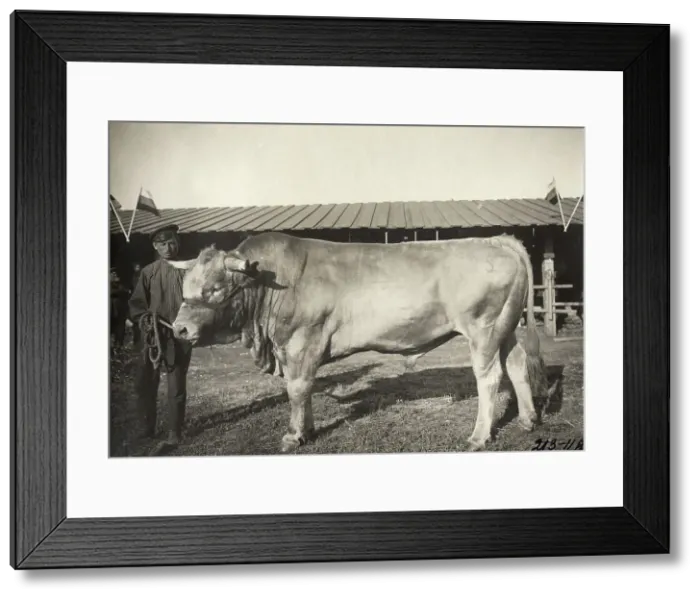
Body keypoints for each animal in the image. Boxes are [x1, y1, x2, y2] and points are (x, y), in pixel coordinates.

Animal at [166, 231, 550, 453]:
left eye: (215, 288)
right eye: (185, 285)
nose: (179, 329)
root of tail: (496, 239)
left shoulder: (301, 342)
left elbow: (297, 389)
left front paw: (294, 435)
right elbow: (305, 390)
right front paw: (307, 429)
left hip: (484, 330)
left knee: (490, 378)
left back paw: (479, 436)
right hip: (505, 328)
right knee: (517, 365)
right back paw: (528, 419)